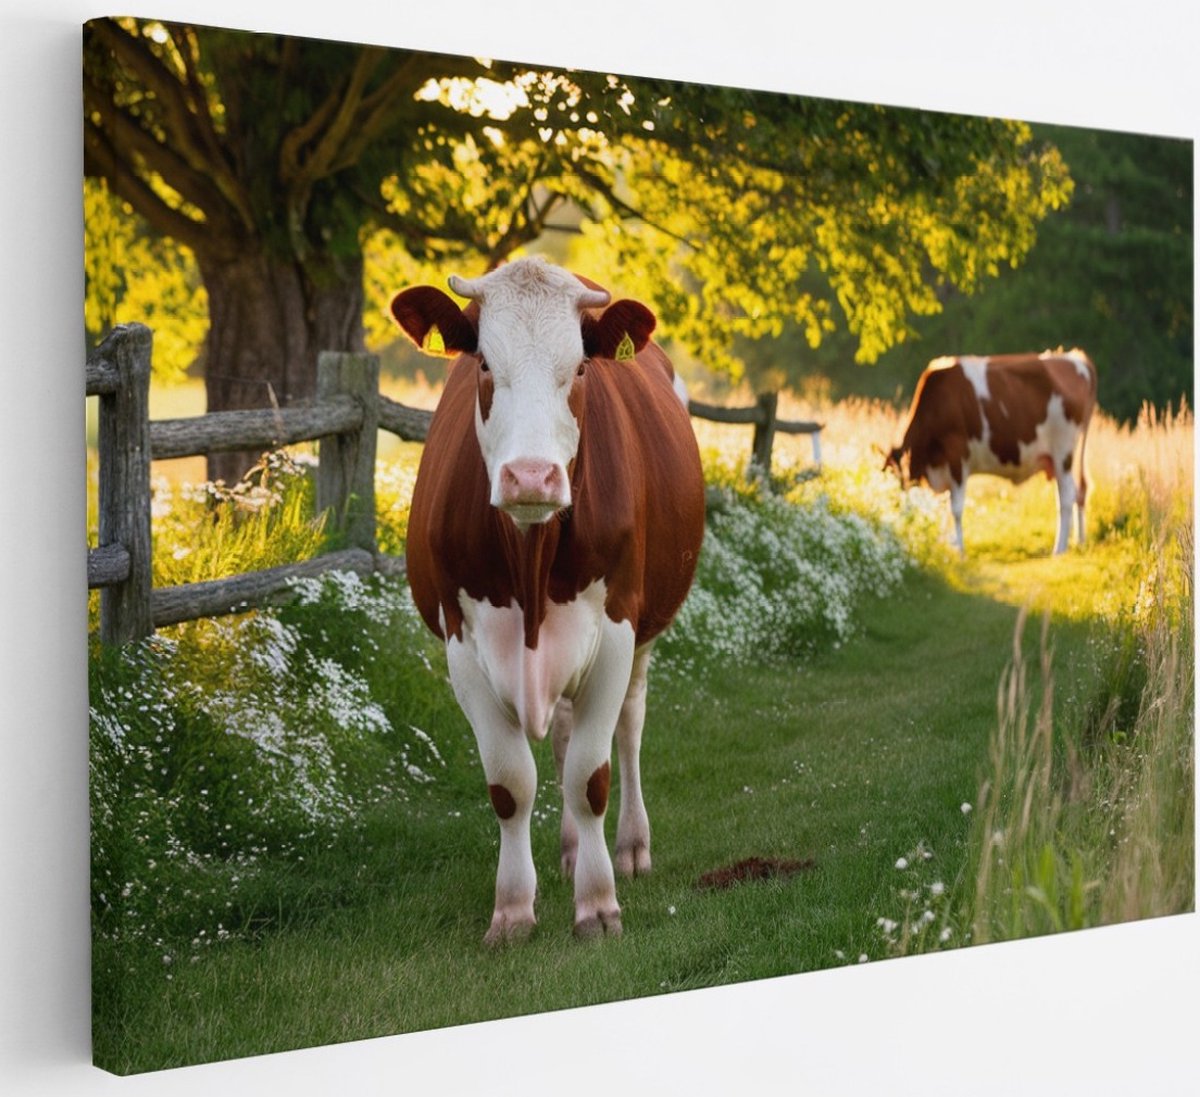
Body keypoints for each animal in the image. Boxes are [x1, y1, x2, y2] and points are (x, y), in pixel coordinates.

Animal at [390, 258, 706, 943]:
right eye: (483, 363)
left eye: (581, 367)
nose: (531, 476)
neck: (530, 561)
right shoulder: (462, 644)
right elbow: (512, 784)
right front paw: (512, 910)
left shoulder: (615, 631)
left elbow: (591, 776)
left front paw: (599, 903)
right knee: (560, 739)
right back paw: (567, 849)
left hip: (644, 633)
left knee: (628, 728)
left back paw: (630, 847)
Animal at [884, 350, 1097, 555]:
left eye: (897, 482)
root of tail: (1076, 358)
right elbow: (942, 507)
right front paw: (946, 546)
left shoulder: (957, 456)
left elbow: (955, 508)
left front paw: (959, 550)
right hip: (1057, 458)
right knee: (1078, 491)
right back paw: (1078, 541)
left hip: (1063, 451)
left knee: (1067, 497)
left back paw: (1059, 548)